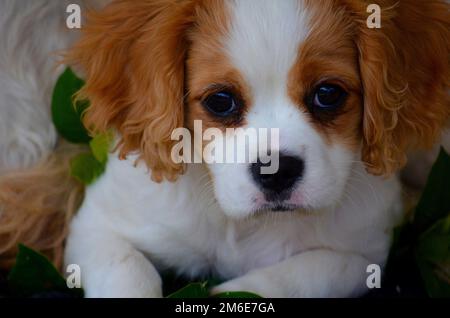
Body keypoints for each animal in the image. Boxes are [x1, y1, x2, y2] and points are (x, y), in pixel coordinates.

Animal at [0, 0, 450, 298]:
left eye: (328, 94)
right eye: (220, 101)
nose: (276, 171)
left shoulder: (365, 253)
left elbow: (302, 273)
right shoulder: (97, 226)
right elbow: (129, 272)